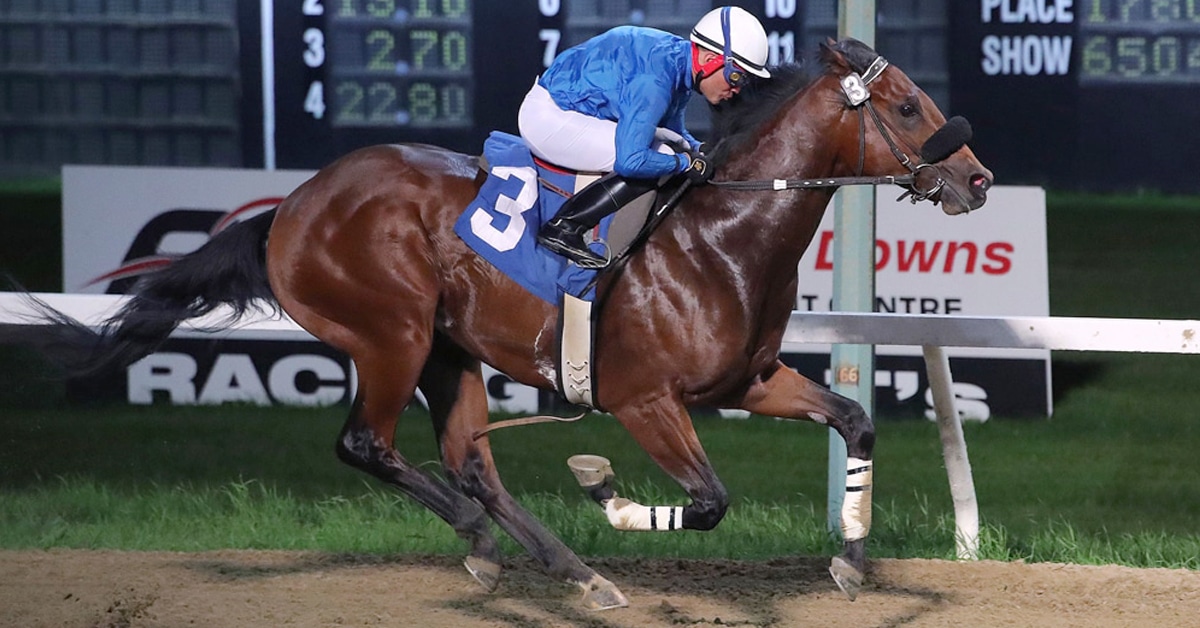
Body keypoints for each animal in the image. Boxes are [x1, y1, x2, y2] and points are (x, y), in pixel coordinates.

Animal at [29, 38, 992, 609]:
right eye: (908, 108)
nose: (978, 181)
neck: (722, 237)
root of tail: (290, 208)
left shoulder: (752, 380)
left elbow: (856, 420)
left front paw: (851, 558)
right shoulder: (645, 399)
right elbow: (710, 502)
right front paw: (604, 489)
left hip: (449, 350)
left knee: (470, 460)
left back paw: (568, 569)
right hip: (392, 335)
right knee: (370, 445)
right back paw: (488, 540)